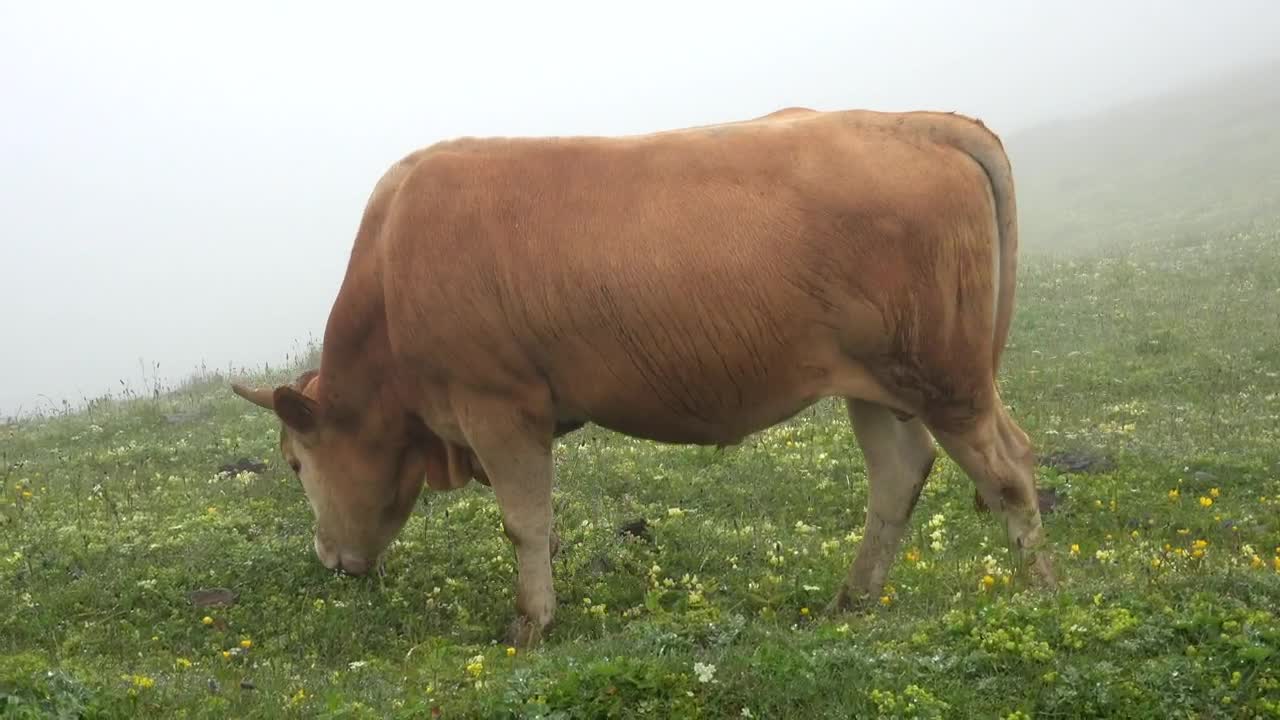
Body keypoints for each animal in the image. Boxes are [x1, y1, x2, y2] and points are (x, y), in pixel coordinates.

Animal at [230, 106, 1058, 648]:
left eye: (296, 462)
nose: (327, 558)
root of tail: (923, 121)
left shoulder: (498, 403)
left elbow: (524, 520)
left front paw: (532, 622)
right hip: (878, 383)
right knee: (899, 473)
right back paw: (852, 602)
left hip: (946, 374)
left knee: (1009, 466)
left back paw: (1038, 596)